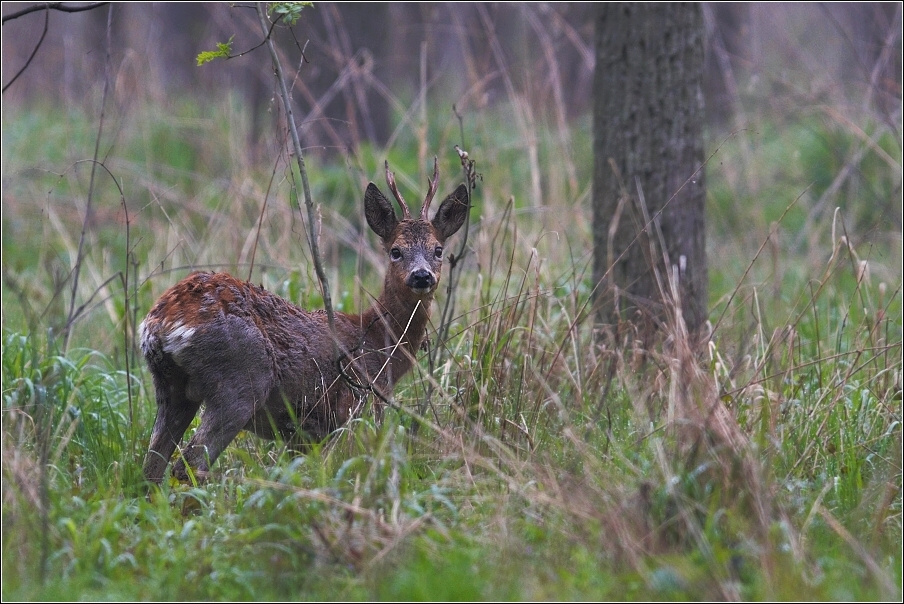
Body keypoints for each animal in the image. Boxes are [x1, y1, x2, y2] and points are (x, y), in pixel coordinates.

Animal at [141, 160, 470, 482]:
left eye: (438, 250)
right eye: (395, 251)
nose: (421, 276)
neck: (378, 346)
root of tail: (163, 324)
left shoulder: (301, 436)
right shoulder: (354, 408)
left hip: (170, 387)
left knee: (151, 467)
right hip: (239, 381)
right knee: (190, 463)